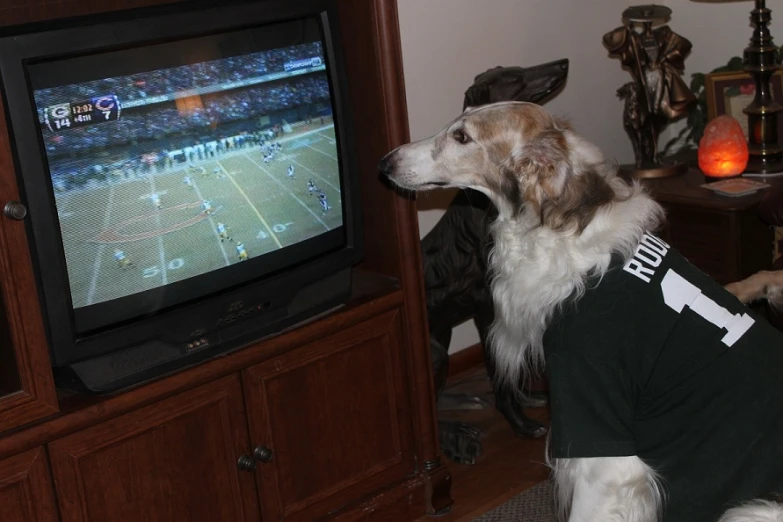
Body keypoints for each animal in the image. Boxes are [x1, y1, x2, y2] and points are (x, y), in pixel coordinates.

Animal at [422, 58, 568, 464]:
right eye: (514, 78)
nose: (562, 63)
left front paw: (528, 397)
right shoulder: (490, 305)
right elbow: (499, 369)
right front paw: (519, 421)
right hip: (435, 350)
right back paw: (456, 438)